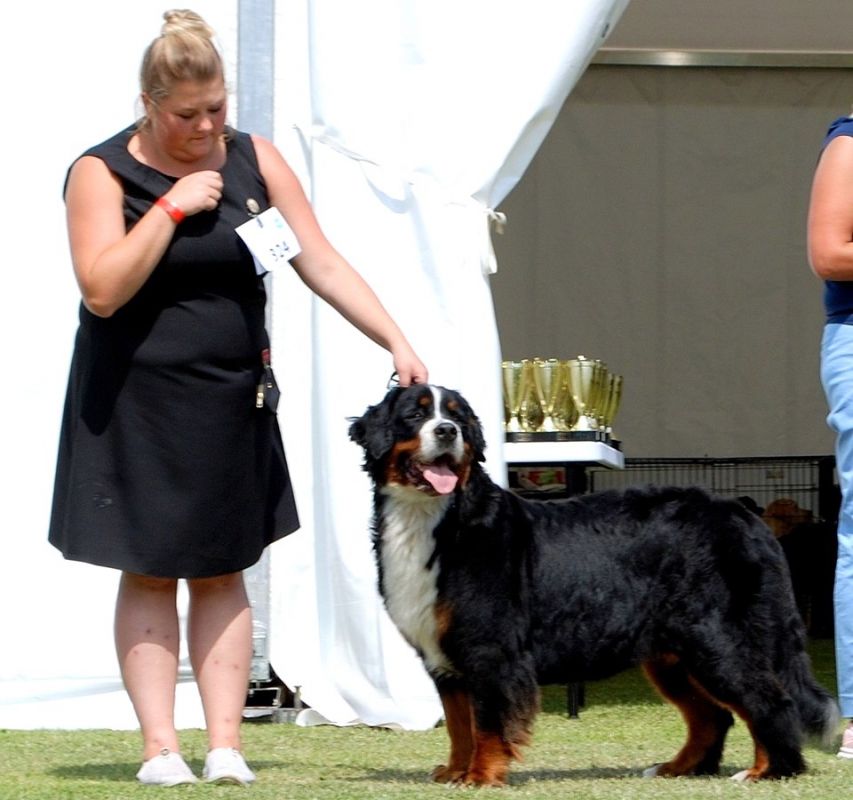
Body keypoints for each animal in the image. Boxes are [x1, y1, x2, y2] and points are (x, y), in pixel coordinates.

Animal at [349, 383, 838, 787]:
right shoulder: (446, 658)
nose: (448, 431)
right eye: (416, 414)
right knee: (712, 717)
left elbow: (487, 723)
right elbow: (458, 726)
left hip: (720, 639)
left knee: (768, 701)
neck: (434, 519)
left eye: (457, 417)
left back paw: (769, 771)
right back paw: (677, 768)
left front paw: (481, 777)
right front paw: (455, 771)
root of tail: (744, 514)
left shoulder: (490, 649)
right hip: (674, 654)